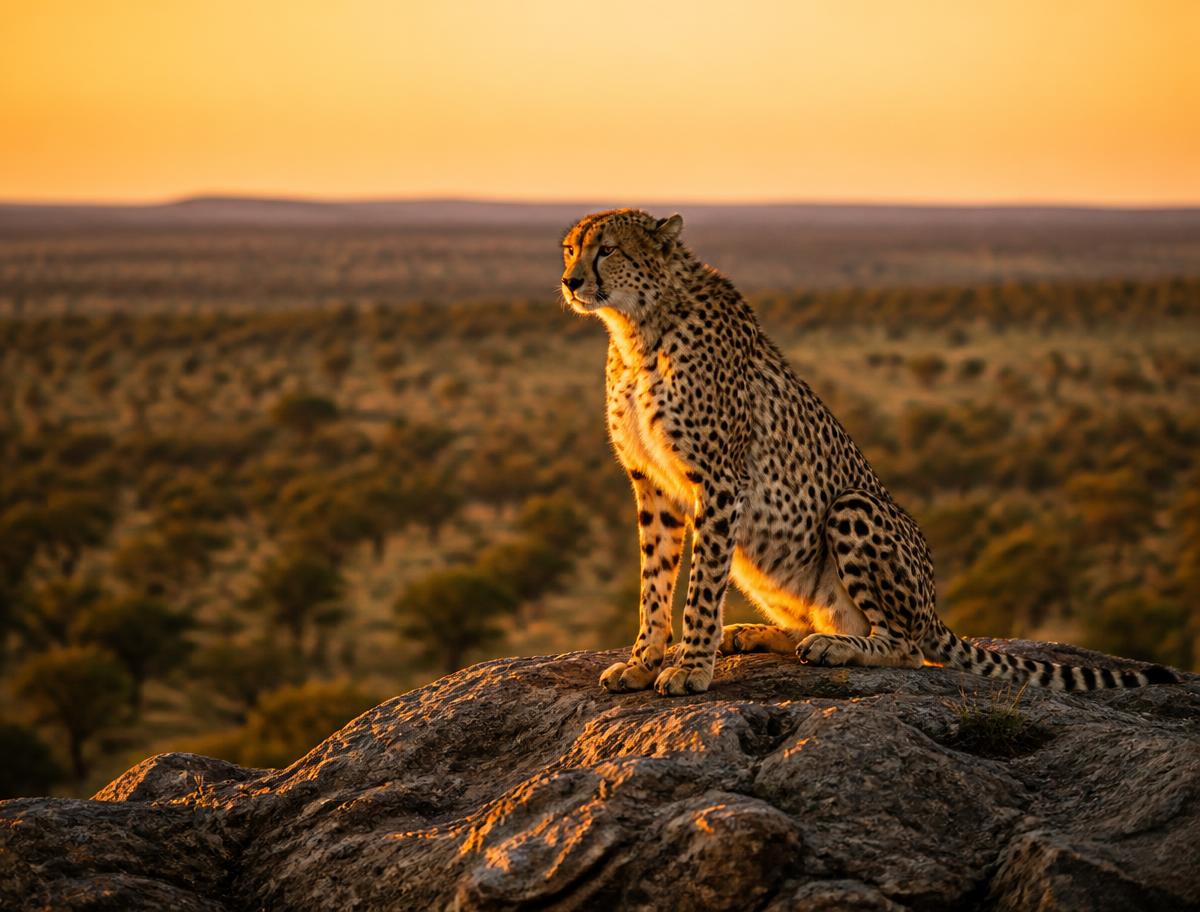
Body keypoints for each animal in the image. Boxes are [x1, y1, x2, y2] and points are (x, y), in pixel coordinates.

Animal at [560, 208, 1178, 696]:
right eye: (570, 249)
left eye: (607, 250)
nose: (569, 281)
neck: (638, 326)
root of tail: (934, 609)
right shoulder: (654, 484)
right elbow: (655, 580)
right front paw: (643, 662)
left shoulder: (719, 481)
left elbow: (701, 587)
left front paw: (690, 667)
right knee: (822, 623)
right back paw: (764, 634)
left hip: (853, 507)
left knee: (906, 646)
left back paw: (836, 648)